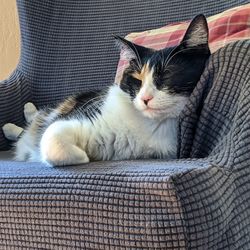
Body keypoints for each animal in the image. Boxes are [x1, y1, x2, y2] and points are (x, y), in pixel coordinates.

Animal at [1, 14, 210, 166]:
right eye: (137, 79)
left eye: (167, 75)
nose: (145, 99)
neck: (151, 124)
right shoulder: (84, 117)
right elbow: (52, 136)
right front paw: (83, 155)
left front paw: (85, 155)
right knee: (35, 123)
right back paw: (20, 117)